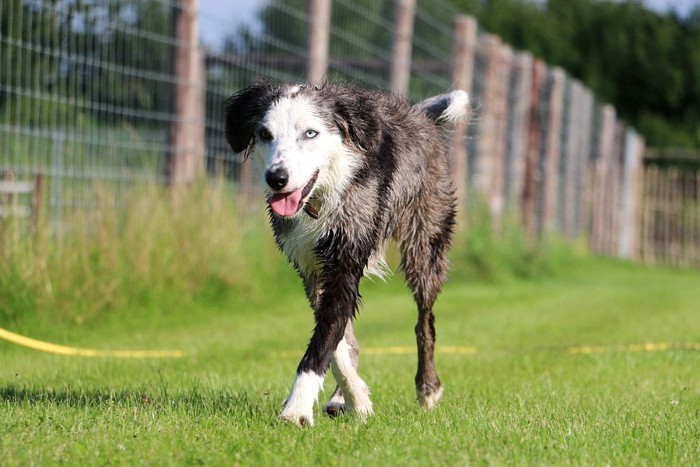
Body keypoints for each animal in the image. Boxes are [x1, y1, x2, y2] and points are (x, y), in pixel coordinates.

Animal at [223, 81, 464, 428]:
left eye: (310, 133)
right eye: (265, 134)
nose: (276, 178)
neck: (324, 195)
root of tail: (420, 117)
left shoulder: (345, 261)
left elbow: (325, 340)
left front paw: (296, 409)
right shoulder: (311, 269)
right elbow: (338, 342)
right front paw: (357, 399)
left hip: (425, 246)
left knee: (425, 323)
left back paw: (428, 388)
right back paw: (341, 399)